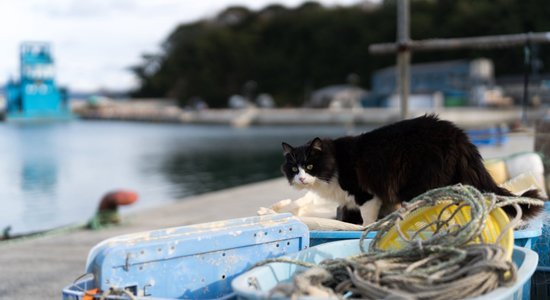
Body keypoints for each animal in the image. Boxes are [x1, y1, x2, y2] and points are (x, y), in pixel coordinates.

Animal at [282, 114, 544, 225]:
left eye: (310, 166)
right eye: (294, 168)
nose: (301, 178)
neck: (334, 162)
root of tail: (458, 135)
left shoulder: (366, 194)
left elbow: (367, 218)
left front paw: (367, 228)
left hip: (419, 182)